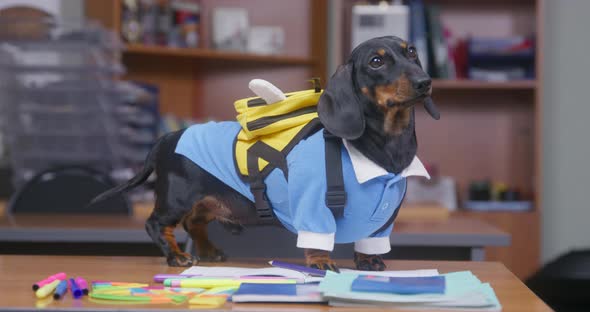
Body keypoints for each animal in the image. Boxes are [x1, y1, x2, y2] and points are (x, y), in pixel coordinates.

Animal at [91, 36, 440, 270]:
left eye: (411, 52)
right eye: (376, 62)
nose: (426, 82)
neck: (384, 145)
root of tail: (168, 137)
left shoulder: (384, 218)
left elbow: (370, 240)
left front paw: (369, 260)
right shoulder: (312, 204)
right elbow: (317, 236)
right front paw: (320, 262)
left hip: (206, 201)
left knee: (194, 224)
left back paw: (209, 251)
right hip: (176, 198)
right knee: (156, 223)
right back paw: (177, 255)